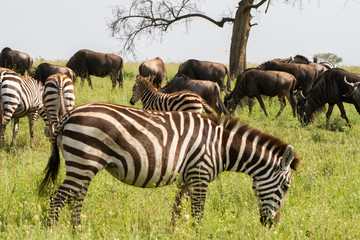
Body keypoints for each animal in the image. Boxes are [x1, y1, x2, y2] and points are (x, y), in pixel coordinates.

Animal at [39, 102, 300, 228]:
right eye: (286, 187)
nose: (272, 225)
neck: (220, 147)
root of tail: (69, 114)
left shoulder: (186, 179)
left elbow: (177, 211)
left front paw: (172, 232)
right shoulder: (200, 175)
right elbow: (197, 213)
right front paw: (197, 234)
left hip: (83, 165)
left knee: (76, 199)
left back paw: (78, 231)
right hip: (83, 162)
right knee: (57, 198)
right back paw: (51, 230)